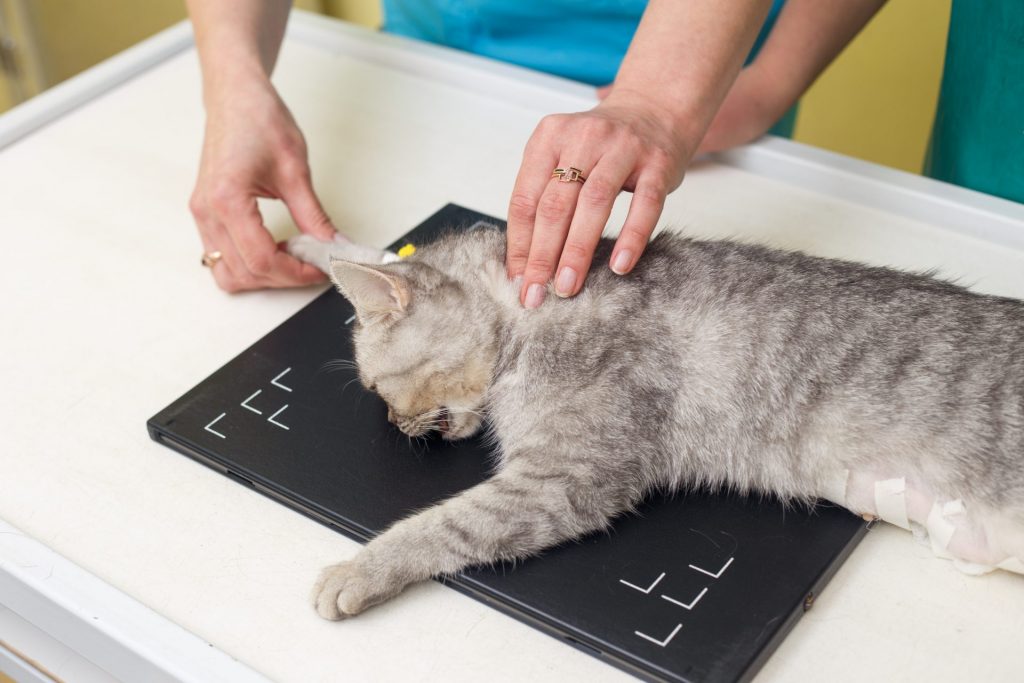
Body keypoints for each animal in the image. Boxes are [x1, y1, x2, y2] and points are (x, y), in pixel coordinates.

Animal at [286, 227, 1024, 622]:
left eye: (376, 388)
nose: (395, 422)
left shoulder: (565, 478)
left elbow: (441, 525)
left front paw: (357, 570)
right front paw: (309, 240)